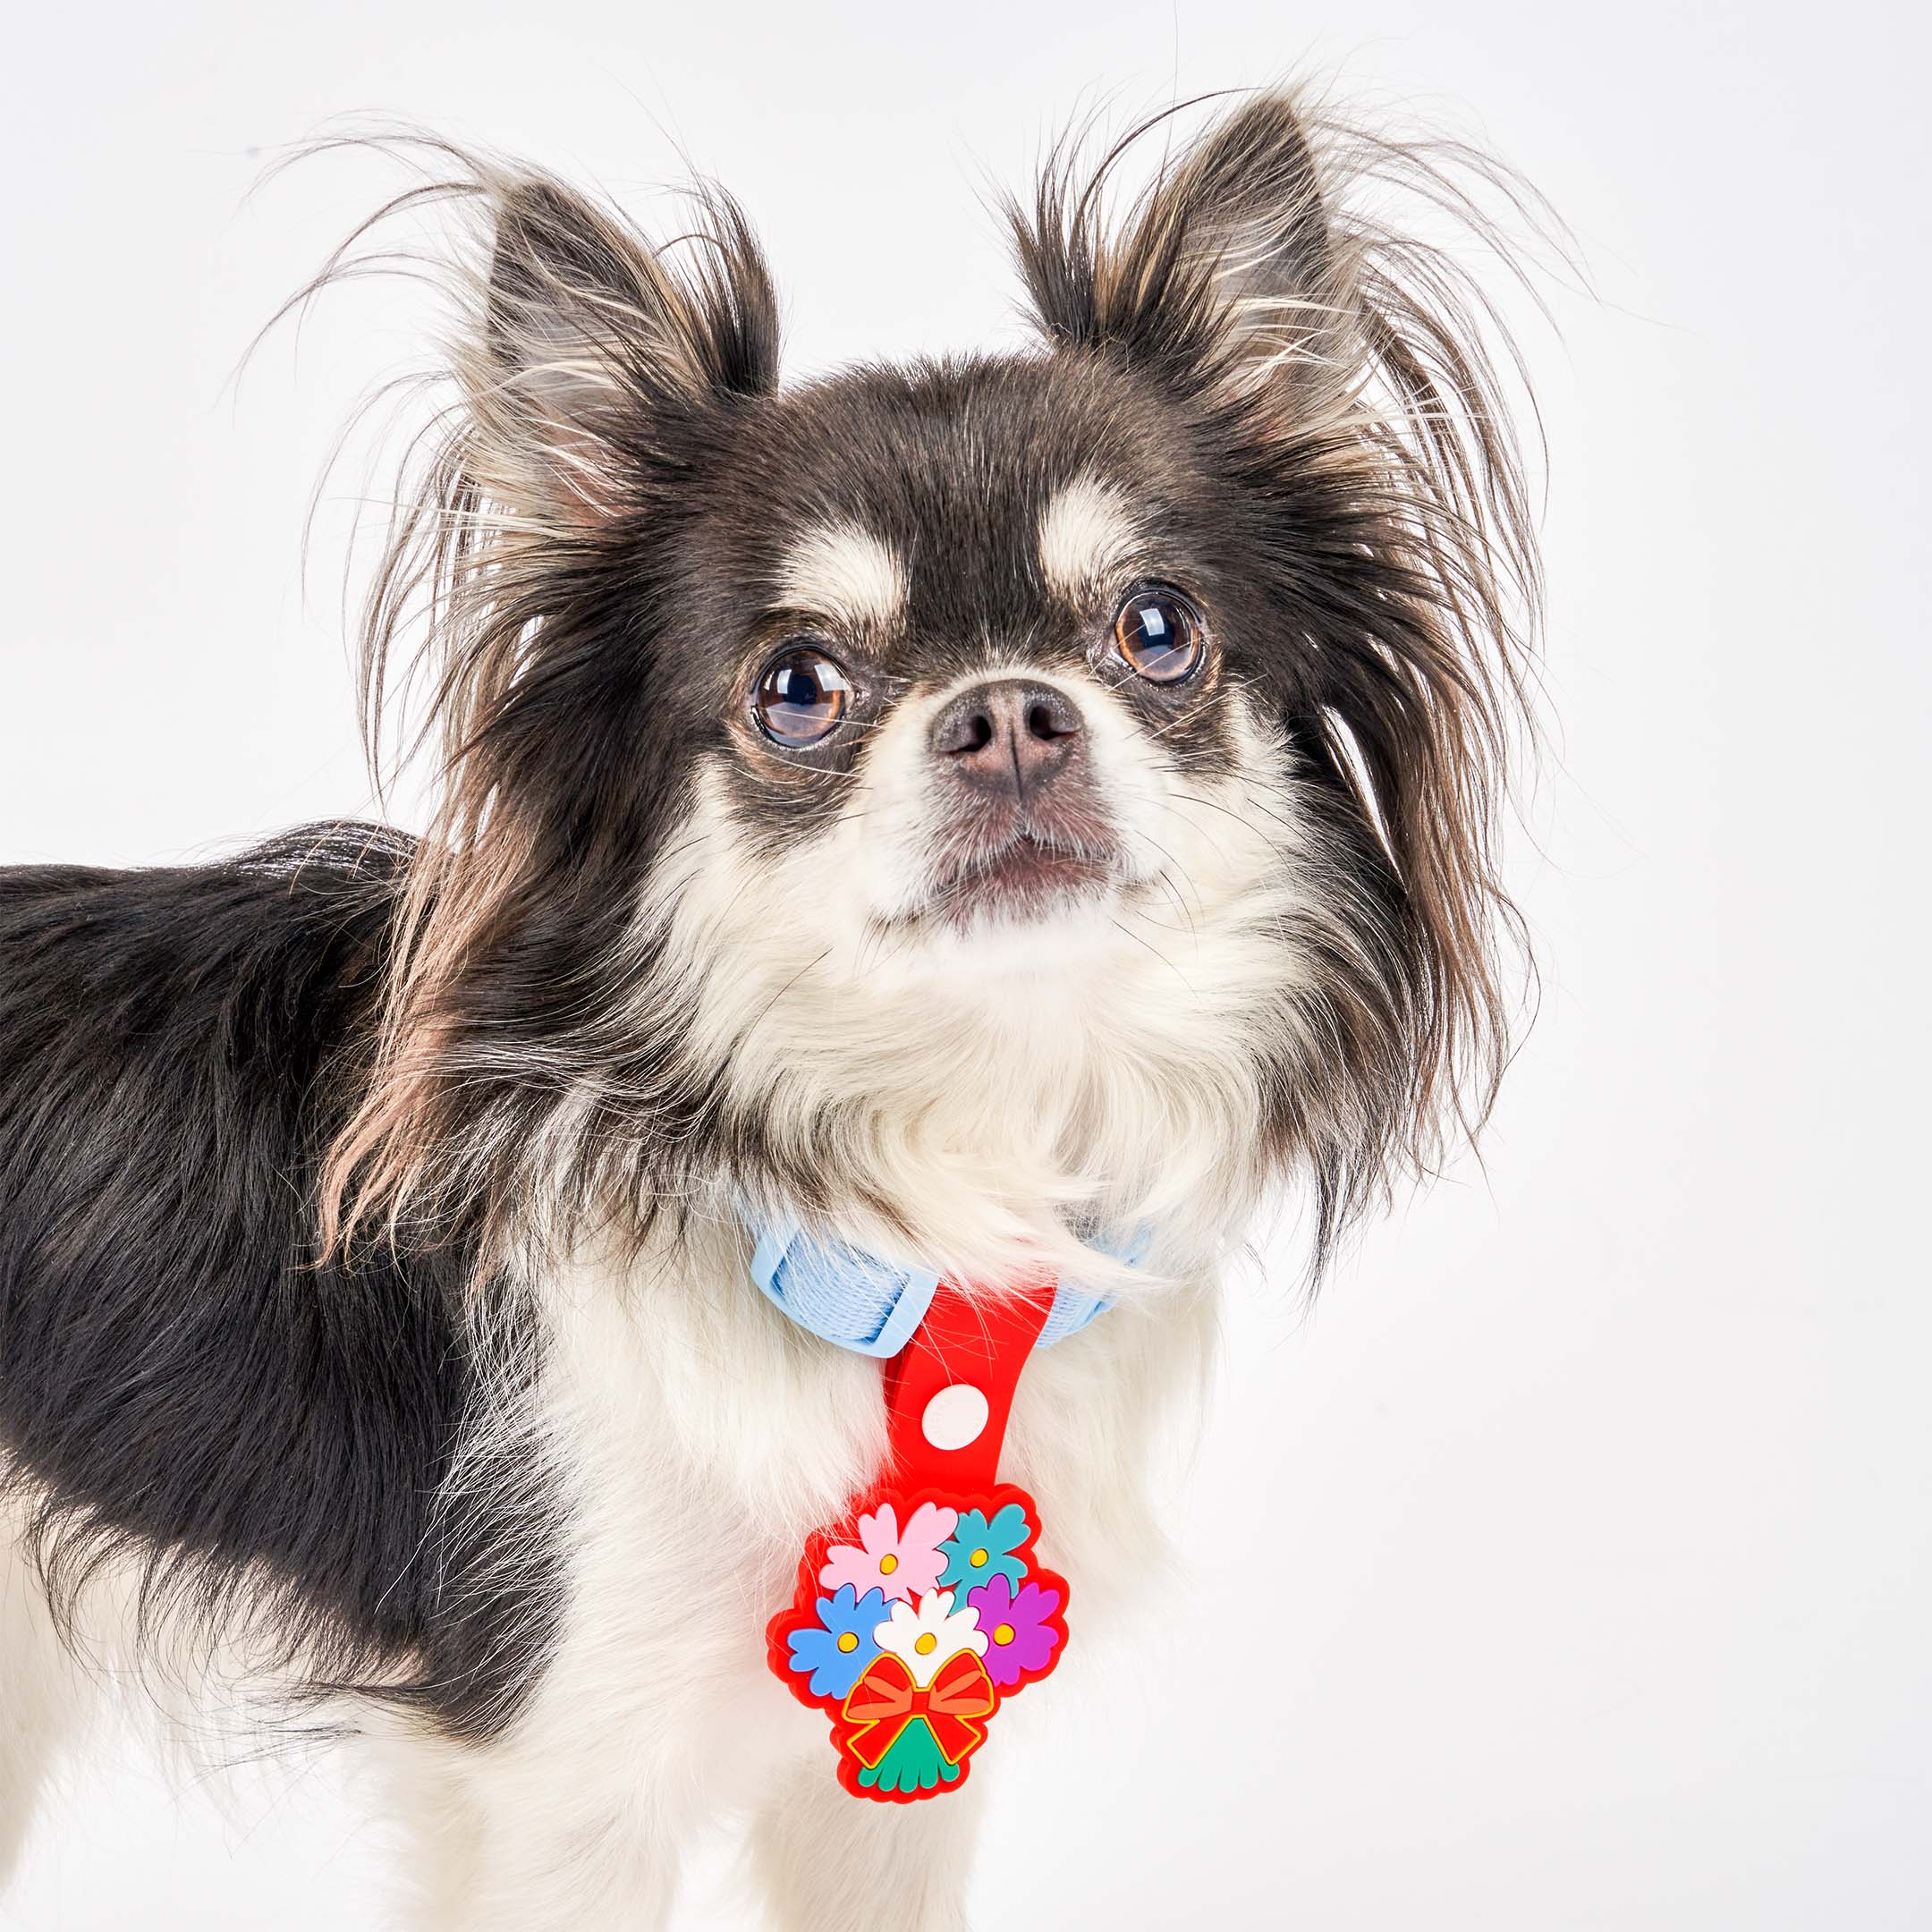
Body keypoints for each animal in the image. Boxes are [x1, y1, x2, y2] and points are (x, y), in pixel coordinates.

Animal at [0, 90, 1538, 1932]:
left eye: (1156, 630)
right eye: (796, 687)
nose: (1010, 715)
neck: (906, 1222)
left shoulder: (890, 1782)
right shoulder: (562, 1785)